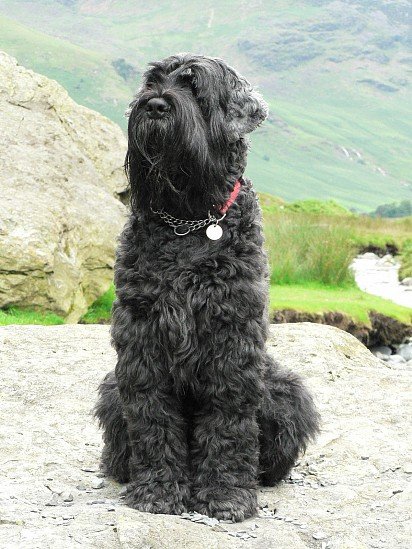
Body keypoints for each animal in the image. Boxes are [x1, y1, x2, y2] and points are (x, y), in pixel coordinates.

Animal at [95, 53, 320, 520]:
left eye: (195, 88)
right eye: (153, 81)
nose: (155, 105)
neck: (190, 221)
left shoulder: (231, 338)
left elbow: (228, 423)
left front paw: (226, 495)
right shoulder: (143, 339)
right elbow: (153, 418)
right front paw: (158, 491)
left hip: (282, 389)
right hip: (111, 389)